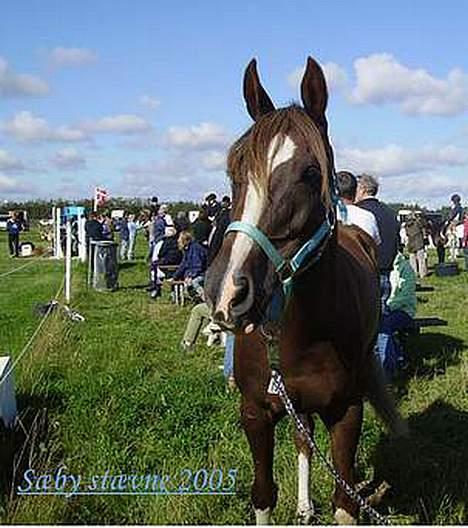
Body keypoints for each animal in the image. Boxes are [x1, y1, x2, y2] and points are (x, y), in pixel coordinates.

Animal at [205, 57, 406, 524]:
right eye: (234, 171)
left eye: (311, 173)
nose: (227, 293)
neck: (299, 334)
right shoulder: (255, 413)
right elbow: (262, 494)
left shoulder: (347, 412)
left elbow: (346, 502)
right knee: (302, 439)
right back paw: (303, 504)